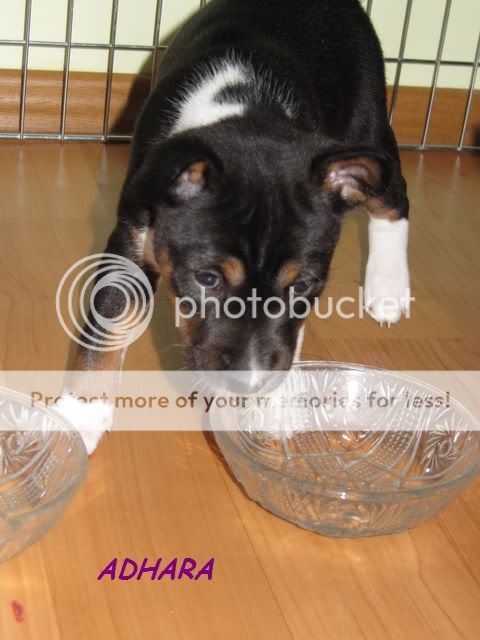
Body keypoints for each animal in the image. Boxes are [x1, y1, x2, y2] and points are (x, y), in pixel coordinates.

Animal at [57, 0, 411, 453]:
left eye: (302, 286)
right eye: (207, 279)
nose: (250, 384)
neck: (244, 108)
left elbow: (290, 337)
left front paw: (276, 406)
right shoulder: (132, 235)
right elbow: (109, 321)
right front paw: (79, 414)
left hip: (369, 125)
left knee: (393, 197)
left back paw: (388, 288)